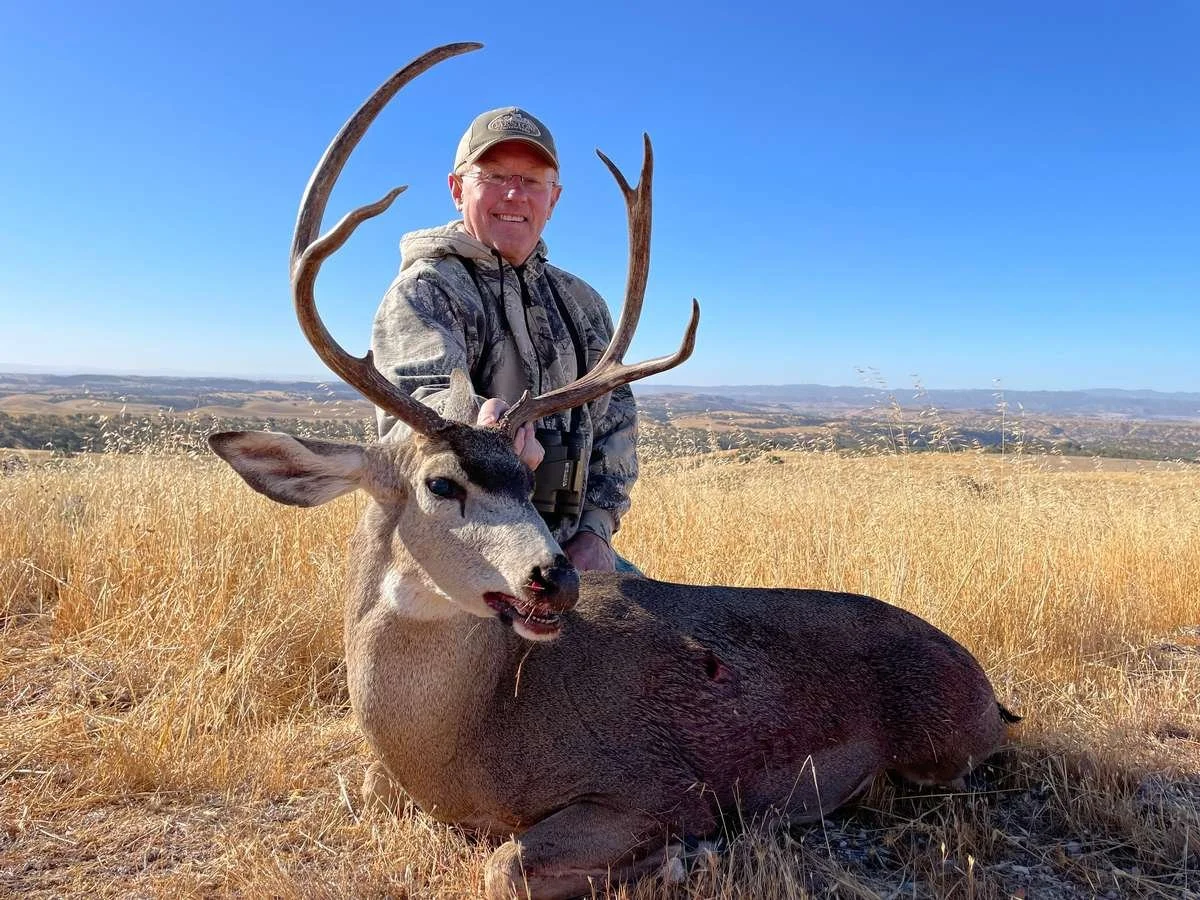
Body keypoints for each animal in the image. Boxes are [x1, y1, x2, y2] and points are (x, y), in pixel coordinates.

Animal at [208, 42, 1019, 900]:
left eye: (525, 479)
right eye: (441, 483)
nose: (554, 579)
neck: (471, 738)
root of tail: (984, 685)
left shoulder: (649, 784)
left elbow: (504, 865)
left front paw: (683, 855)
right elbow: (364, 786)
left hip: (938, 747)